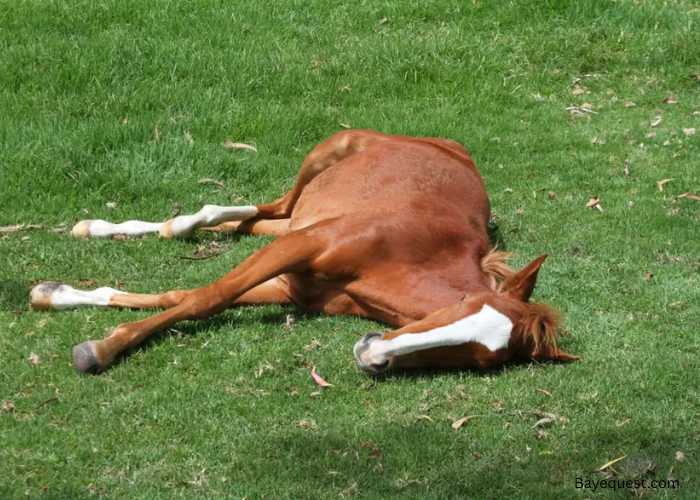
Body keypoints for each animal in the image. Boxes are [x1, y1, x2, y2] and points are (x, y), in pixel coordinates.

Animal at [30, 129, 579, 374]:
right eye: (463, 305)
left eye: (483, 360)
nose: (371, 353)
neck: (404, 254)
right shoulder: (304, 245)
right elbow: (206, 297)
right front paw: (98, 349)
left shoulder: (293, 287)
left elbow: (179, 295)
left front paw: (58, 295)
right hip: (326, 155)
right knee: (256, 209)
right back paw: (123, 226)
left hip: (295, 219)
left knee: (254, 221)